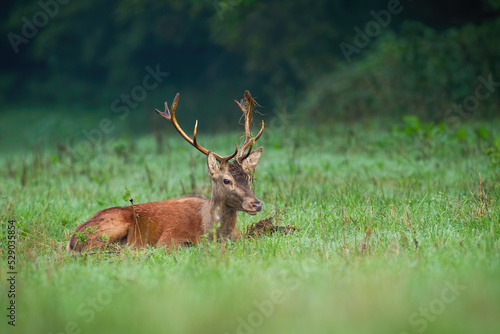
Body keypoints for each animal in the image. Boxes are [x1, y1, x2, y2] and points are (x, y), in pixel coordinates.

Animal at [68, 90, 268, 252]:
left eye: (248, 178)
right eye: (226, 180)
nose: (256, 204)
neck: (211, 232)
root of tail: (72, 239)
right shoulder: (169, 239)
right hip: (109, 228)